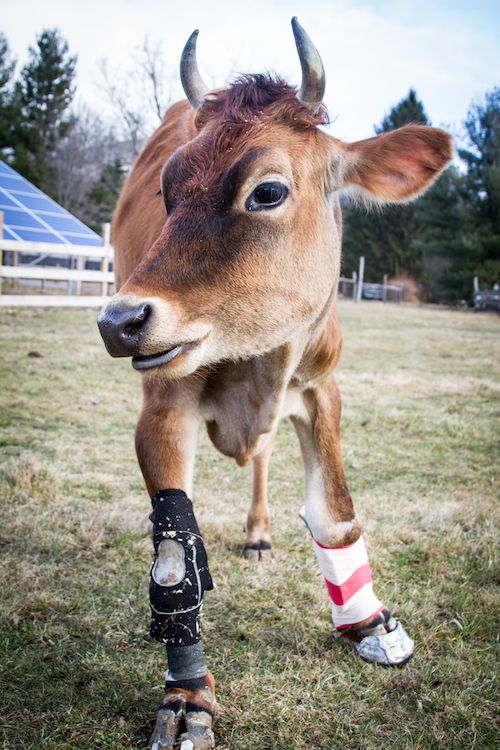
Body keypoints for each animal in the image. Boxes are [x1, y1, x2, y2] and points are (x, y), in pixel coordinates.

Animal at [97, 18, 452, 750]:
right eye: (166, 190)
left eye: (266, 191)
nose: (119, 321)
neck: (256, 361)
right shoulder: (162, 405)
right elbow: (174, 562)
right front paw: (187, 699)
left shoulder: (322, 386)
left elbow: (337, 512)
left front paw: (367, 621)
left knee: (262, 457)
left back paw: (258, 532)